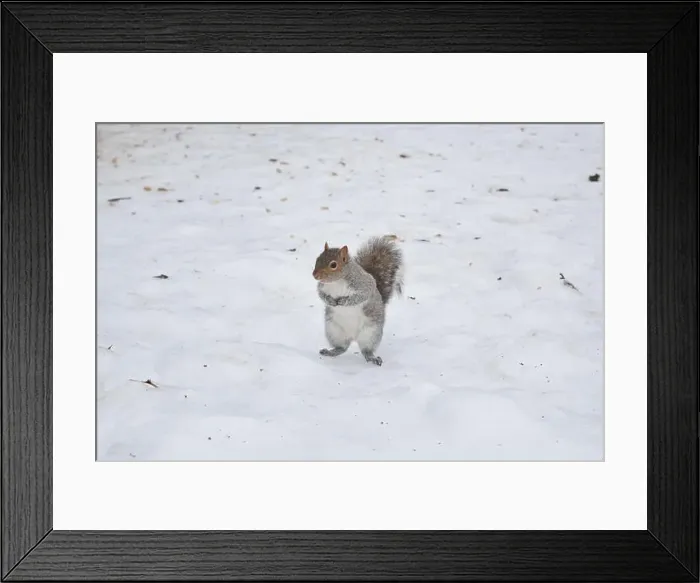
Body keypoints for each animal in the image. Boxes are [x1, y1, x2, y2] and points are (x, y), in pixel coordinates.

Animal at [312, 235, 404, 366]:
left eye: (333, 265)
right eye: (318, 259)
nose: (314, 275)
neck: (337, 281)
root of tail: (353, 337)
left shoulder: (364, 285)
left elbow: (361, 296)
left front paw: (344, 301)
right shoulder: (322, 287)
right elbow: (321, 294)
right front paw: (330, 301)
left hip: (371, 333)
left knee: (366, 350)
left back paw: (371, 358)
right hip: (334, 331)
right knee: (342, 347)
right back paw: (331, 352)